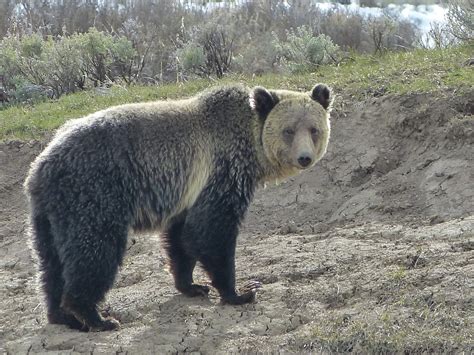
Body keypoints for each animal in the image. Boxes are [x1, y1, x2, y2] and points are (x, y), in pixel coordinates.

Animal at [23, 82, 334, 330]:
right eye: (288, 130)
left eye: (314, 129)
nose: (304, 157)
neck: (251, 146)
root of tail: (41, 164)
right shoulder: (222, 172)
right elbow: (211, 232)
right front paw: (240, 291)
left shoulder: (187, 192)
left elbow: (181, 239)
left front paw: (192, 285)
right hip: (95, 192)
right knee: (94, 250)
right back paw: (96, 317)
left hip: (49, 214)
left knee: (50, 262)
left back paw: (62, 316)